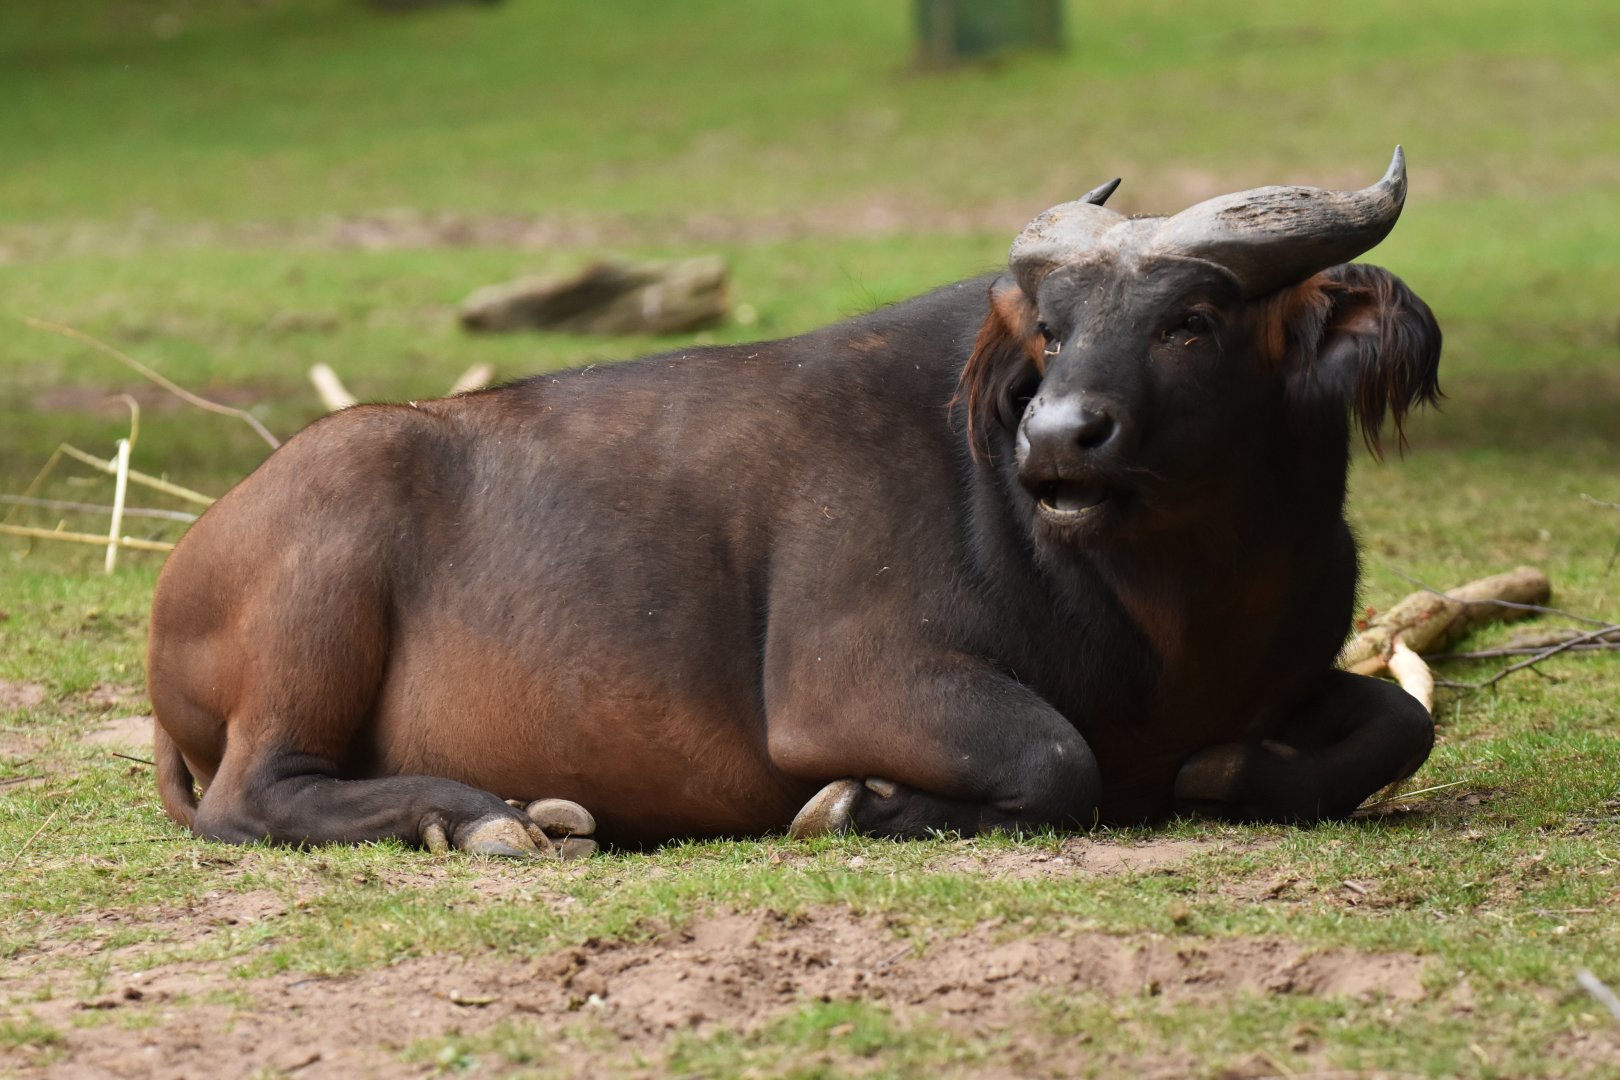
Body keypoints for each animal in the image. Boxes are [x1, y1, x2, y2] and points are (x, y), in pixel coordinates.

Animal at [147, 149, 1442, 858]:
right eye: (1053, 330)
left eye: (1193, 318)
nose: (1056, 437)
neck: (1174, 609)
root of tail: (185, 572)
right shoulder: (843, 685)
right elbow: (1056, 756)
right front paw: (861, 807)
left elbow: (1401, 723)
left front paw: (1226, 772)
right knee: (253, 797)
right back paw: (483, 816)